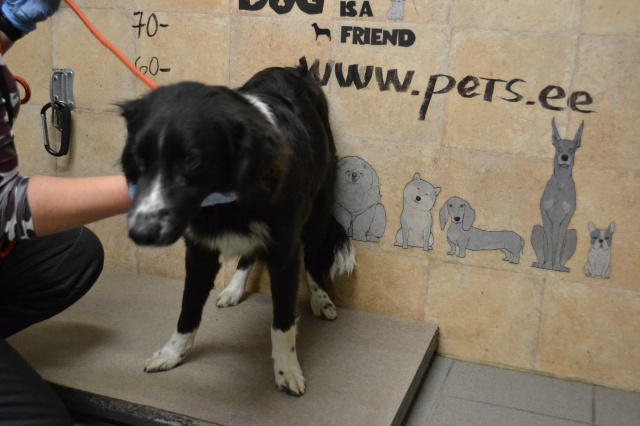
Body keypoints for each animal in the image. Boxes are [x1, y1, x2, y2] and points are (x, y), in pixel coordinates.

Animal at [120, 60, 356, 397]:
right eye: (139, 159)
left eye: (190, 160)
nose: (141, 233)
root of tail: (293, 67)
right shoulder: (200, 252)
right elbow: (188, 309)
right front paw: (172, 353)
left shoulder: (285, 252)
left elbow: (283, 322)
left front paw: (287, 370)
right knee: (249, 254)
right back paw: (234, 288)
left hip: (318, 210)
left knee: (313, 261)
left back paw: (320, 298)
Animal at [532, 118, 584, 272]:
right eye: (559, 147)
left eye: (572, 149)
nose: (564, 157)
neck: (561, 184)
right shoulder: (545, 214)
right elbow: (550, 242)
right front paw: (548, 265)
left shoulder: (567, 218)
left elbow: (559, 242)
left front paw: (554, 266)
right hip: (536, 229)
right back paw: (542, 264)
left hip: (573, 234)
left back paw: (560, 267)